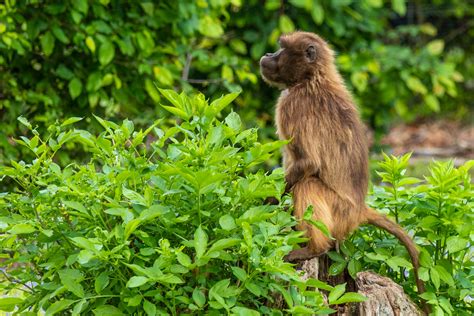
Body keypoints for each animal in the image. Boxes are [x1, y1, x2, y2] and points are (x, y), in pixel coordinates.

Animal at [262, 31, 428, 306]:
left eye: (282, 49)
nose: (267, 55)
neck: (313, 78)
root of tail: (359, 210)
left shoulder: (291, 103)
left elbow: (308, 162)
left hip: (340, 212)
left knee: (307, 184)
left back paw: (314, 248)